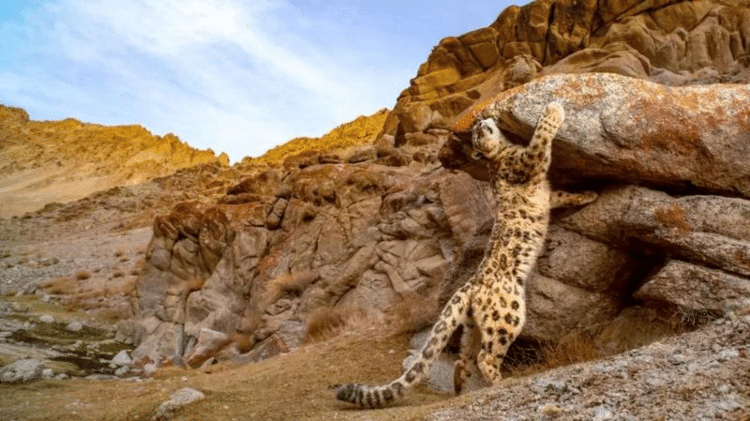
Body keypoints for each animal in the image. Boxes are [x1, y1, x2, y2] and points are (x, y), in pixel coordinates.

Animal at [335, 102, 597, 408]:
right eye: (476, 136)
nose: (481, 123)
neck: (503, 152)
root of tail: (469, 285)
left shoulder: (546, 190)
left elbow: (562, 195)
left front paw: (588, 195)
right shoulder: (527, 161)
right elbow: (540, 138)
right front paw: (553, 109)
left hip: (474, 325)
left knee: (465, 356)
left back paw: (460, 385)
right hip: (506, 315)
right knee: (485, 356)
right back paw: (500, 381)